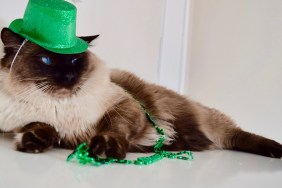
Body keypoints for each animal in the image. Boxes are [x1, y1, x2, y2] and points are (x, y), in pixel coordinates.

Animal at [0, 27, 282, 159]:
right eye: (47, 60)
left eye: (75, 61)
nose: (69, 78)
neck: (58, 105)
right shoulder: (40, 126)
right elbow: (44, 128)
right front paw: (33, 142)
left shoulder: (124, 108)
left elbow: (113, 128)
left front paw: (105, 148)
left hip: (208, 123)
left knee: (237, 135)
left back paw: (275, 151)